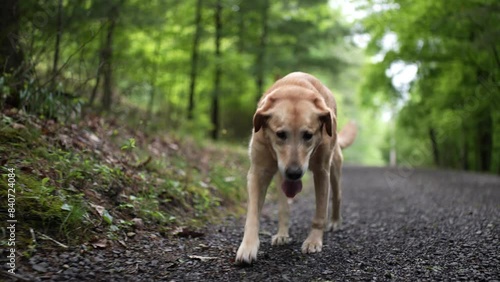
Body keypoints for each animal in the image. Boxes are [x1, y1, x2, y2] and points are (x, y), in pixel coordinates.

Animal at [234, 71, 356, 264]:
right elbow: (253, 214)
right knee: (284, 207)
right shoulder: (258, 171)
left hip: (334, 167)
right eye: (280, 134)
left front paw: (313, 241)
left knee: (337, 195)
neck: (294, 88)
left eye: (308, 135)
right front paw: (248, 247)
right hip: (280, 176)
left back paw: (335, 221)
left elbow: (320, 212)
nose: (294, 173)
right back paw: (282, 234)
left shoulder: (321, 171)